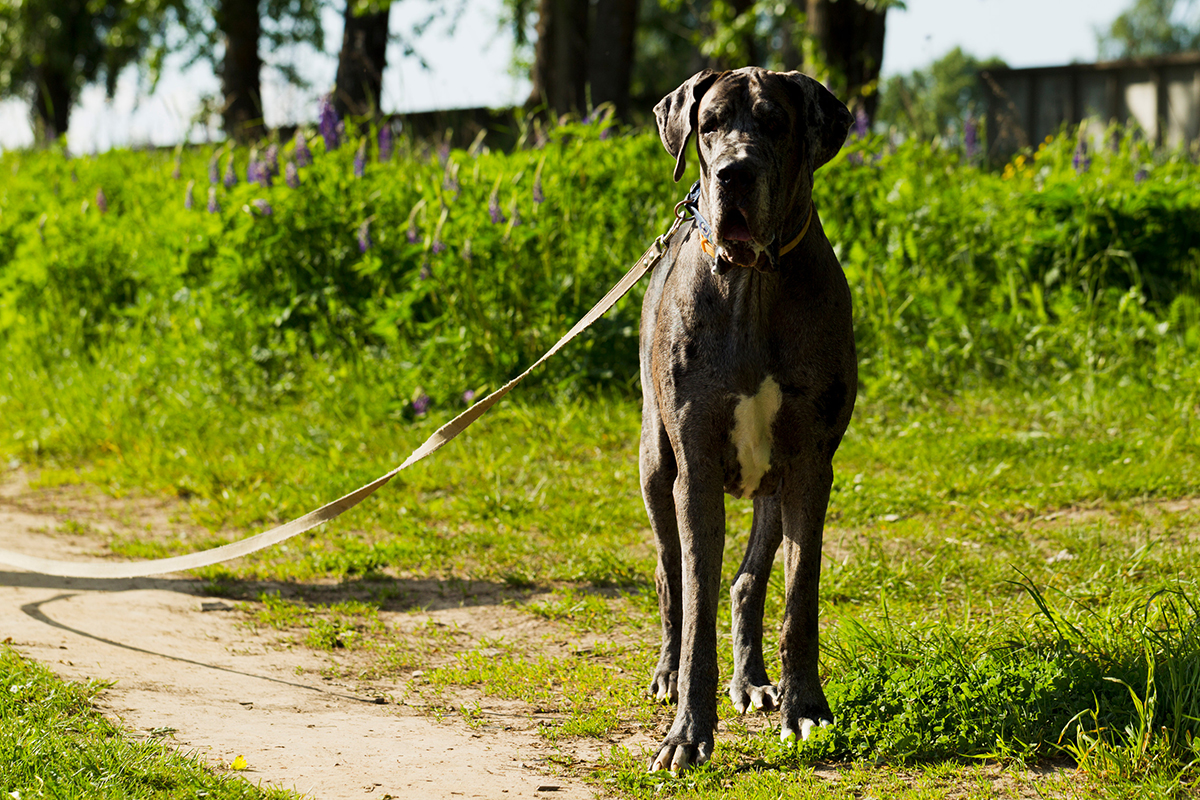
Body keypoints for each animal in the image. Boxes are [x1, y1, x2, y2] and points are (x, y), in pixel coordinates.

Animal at [643, 70, 859, 777]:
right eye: (709, 125)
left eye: (775, 123)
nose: (733, 173)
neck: (752, 284)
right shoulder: (696, 470)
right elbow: (695, 605)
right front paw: (687, 735)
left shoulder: (811, 467)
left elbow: (798, 597)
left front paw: (806, 708)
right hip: (656, 466)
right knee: (671, 576)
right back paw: (668, 674)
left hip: (771, 483)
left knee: (746, 582)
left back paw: (754, 681)